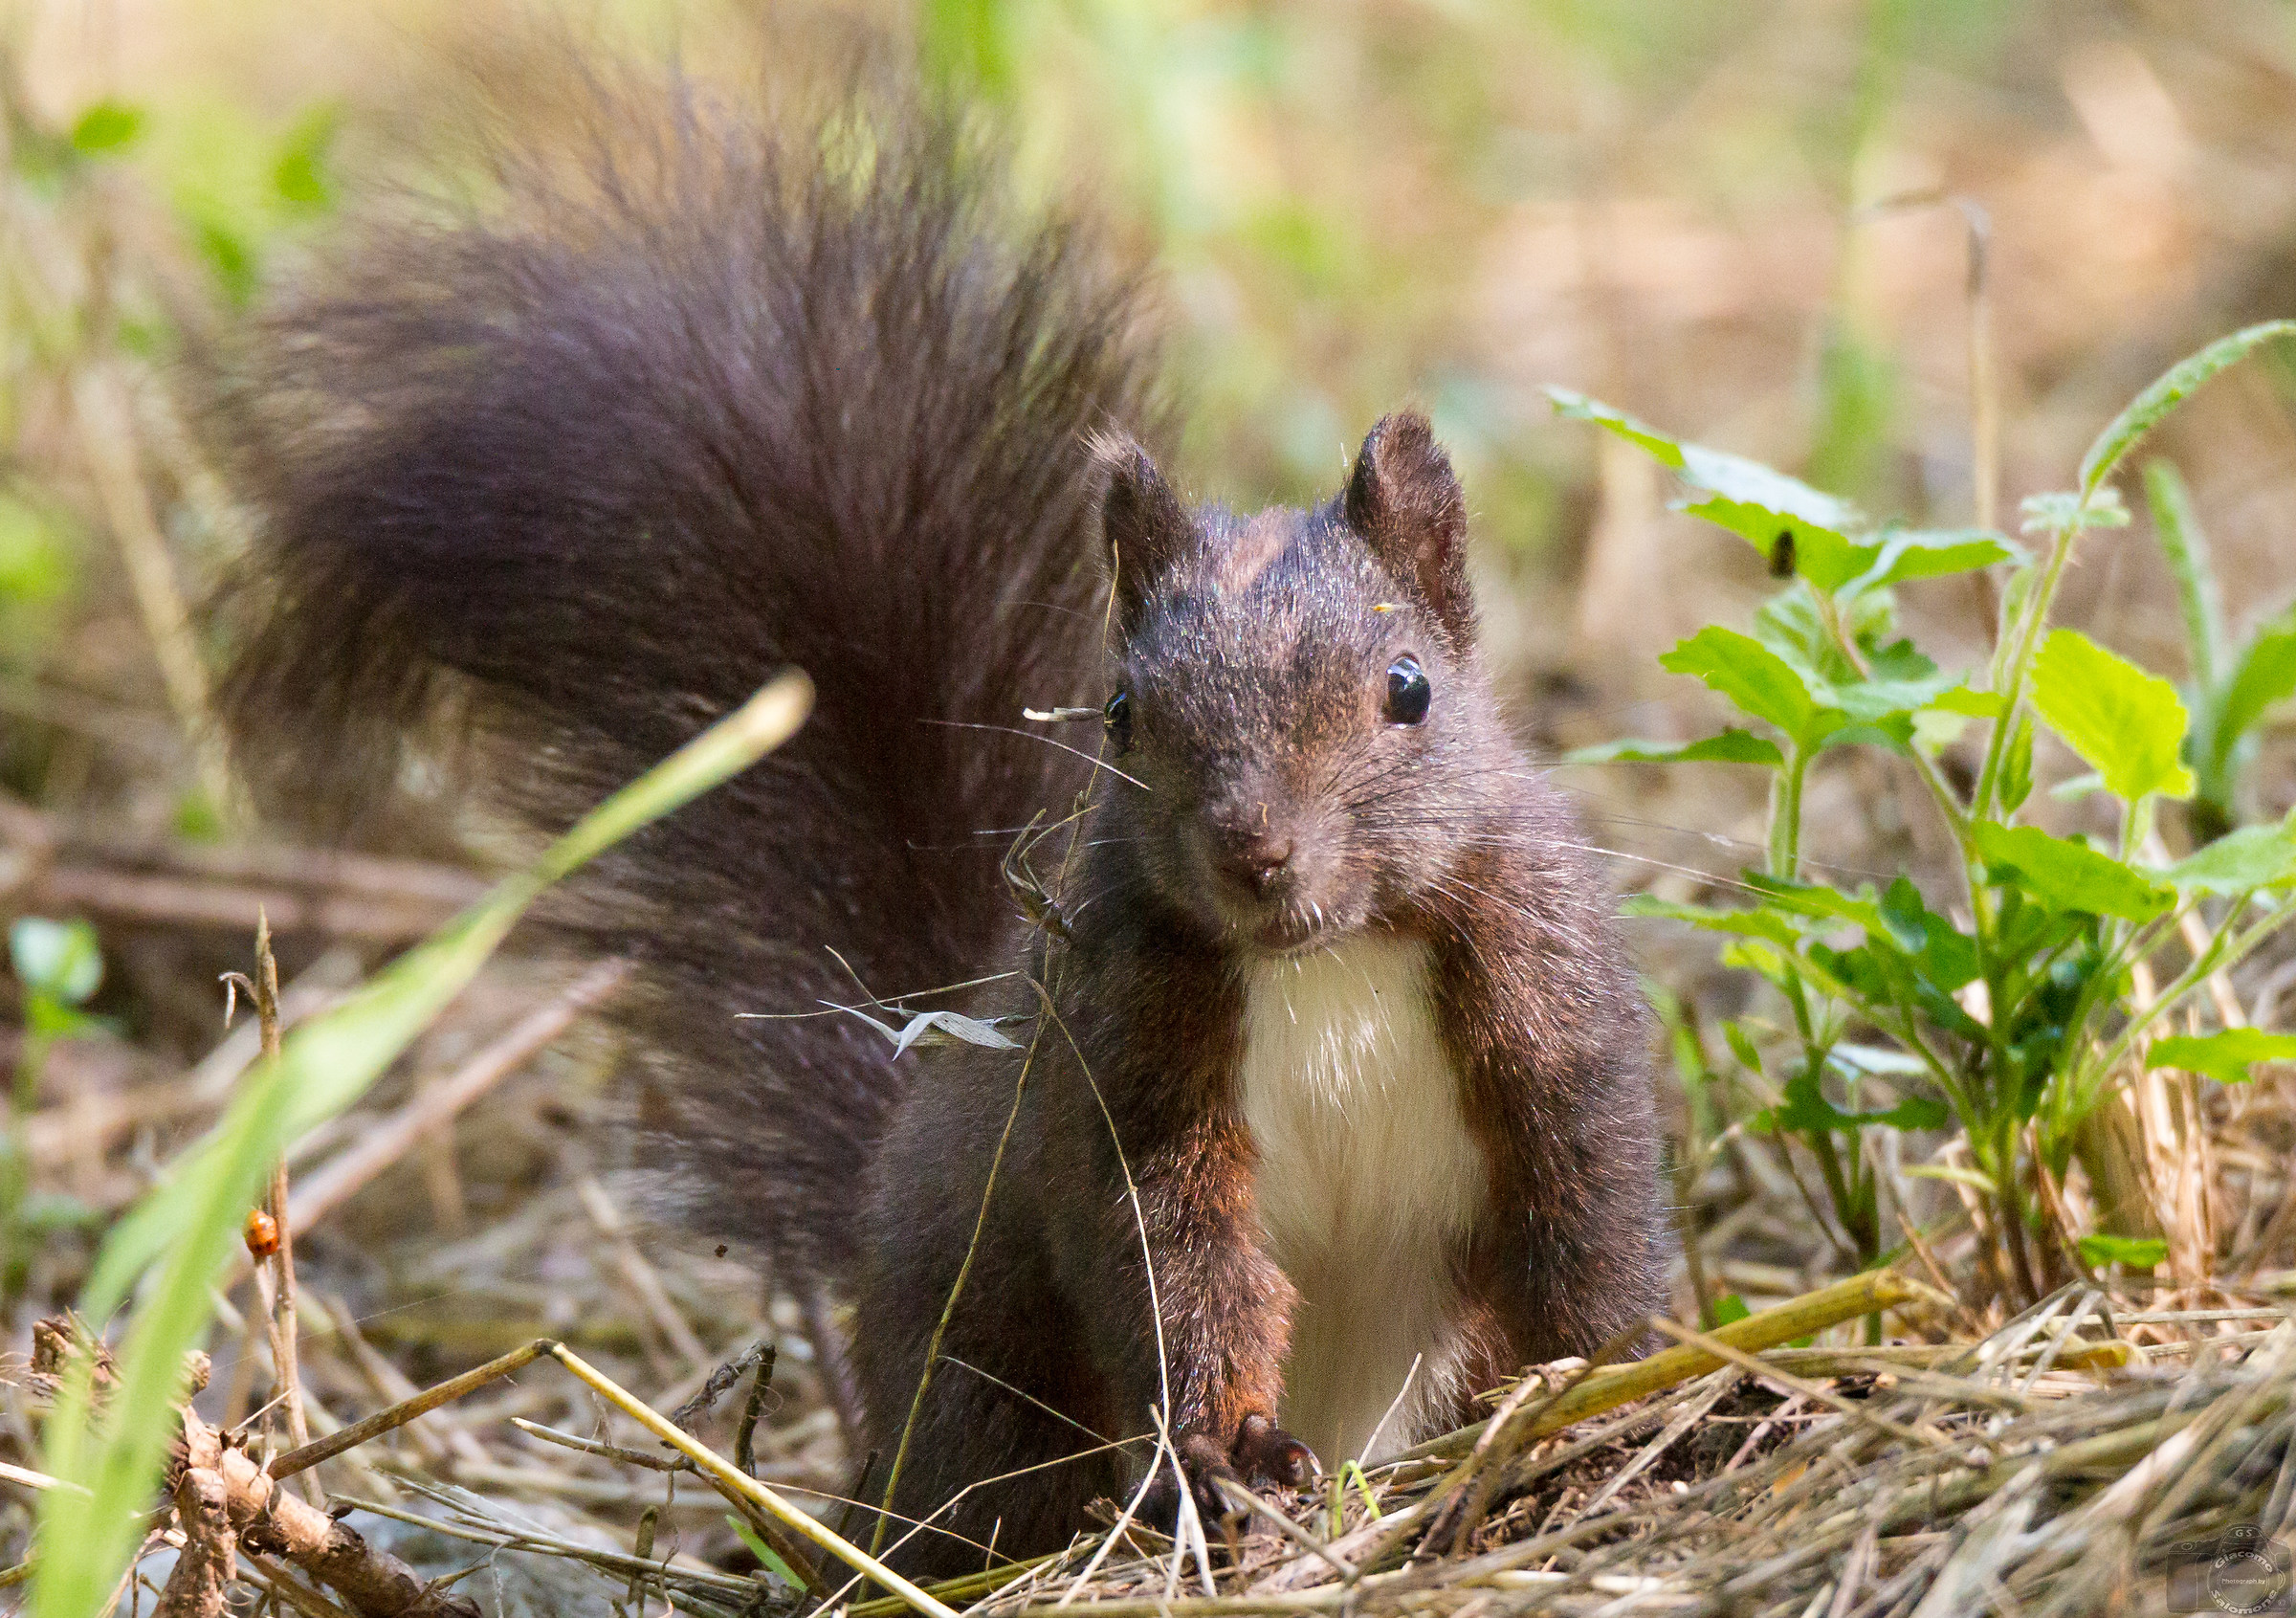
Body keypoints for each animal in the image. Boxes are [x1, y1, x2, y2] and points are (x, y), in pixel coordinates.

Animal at [208, 57, 1669, 1574]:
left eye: (1409, 688)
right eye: (1120, 711)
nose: (1255, 850)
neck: (1326, 961)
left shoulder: (1547, 997)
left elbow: (1585, 1214)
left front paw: (1606, 1385)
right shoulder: (1124, 1067)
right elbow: (1178, 1266)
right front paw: (1229, 1454)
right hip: (986, 1373)